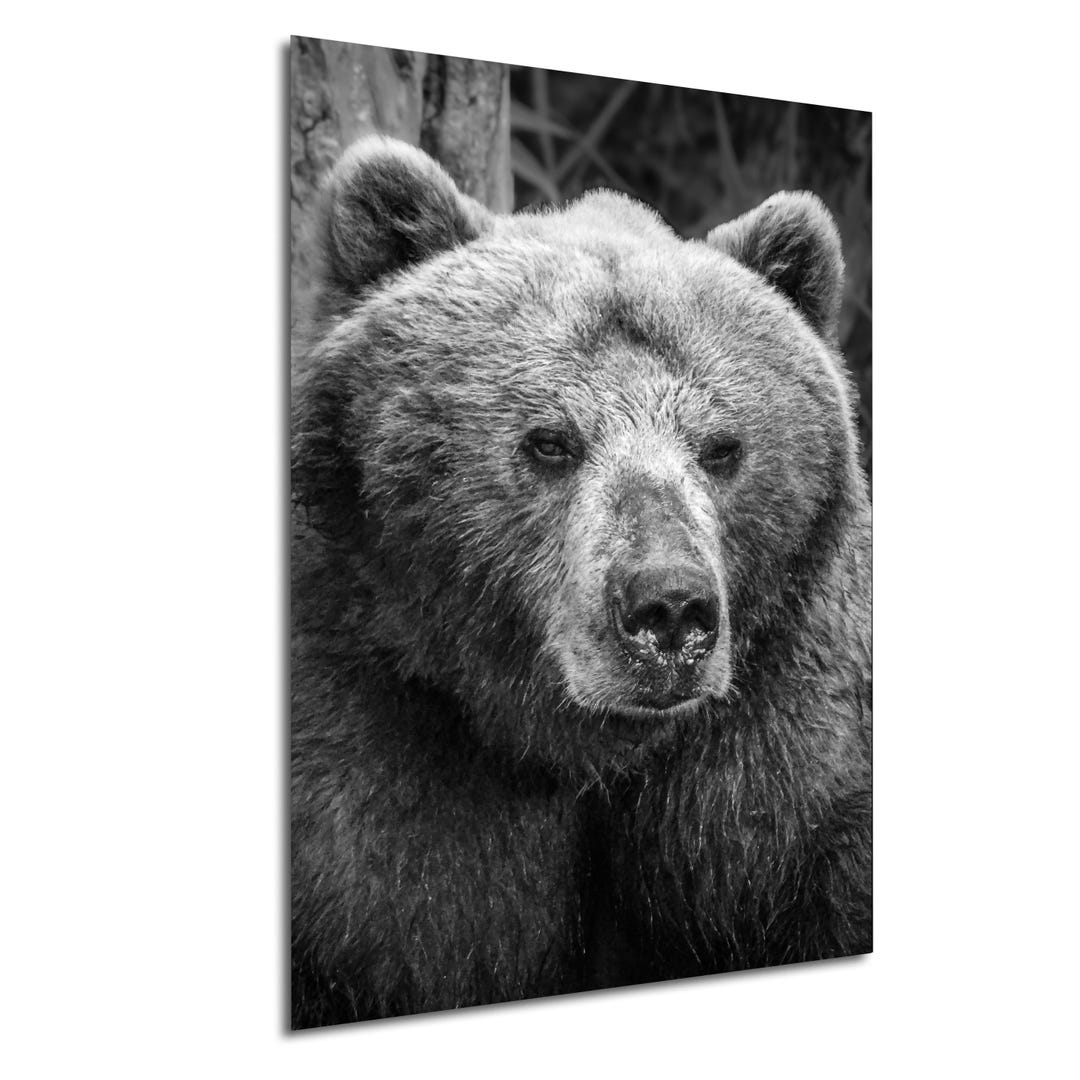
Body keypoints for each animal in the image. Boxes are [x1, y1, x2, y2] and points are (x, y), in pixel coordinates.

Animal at [290, 135, 871, 1027]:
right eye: (550, 440)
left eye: (722, 447)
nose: (669, 610)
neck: (574, 743)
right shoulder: (375, 762)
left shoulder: (778, 778)